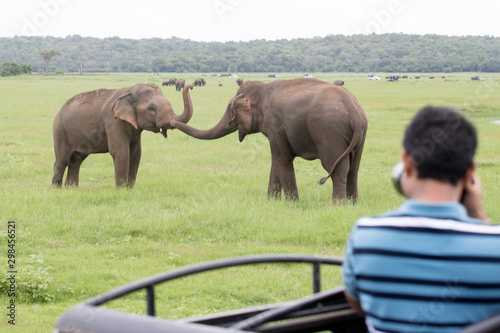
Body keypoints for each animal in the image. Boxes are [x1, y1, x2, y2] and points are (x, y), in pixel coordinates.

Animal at [52, 83, 193, 187]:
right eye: (151, 108)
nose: (191, 86)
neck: (128, 91)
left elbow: (136, 153)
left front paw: (129, 188)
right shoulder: (113, 121)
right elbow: (121, 151)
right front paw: (121, 189)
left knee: (76, 160)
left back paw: (71, 189)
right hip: (60, 131)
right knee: (62, 161)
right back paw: (56, 189)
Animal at [172, 78, 368, 202]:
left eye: (230, 110)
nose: (172, 122)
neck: (262, 88)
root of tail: (355, 113)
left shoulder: (275, 126)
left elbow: (282, 158)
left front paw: (292, 203)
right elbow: (276, 160)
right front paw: (271, 201)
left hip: (329, 132)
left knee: (336, 167)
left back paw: (338, 204)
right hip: (360, 136)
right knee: (353, 168)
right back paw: (352, 204)